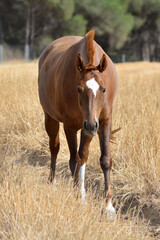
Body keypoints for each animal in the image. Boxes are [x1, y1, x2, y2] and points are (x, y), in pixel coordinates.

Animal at [37, 30, 117, 219]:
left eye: (103, 89)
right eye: (79, 89)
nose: (91, 125)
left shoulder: (104, 122)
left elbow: (104, 160)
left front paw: (108, 207)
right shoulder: (70, 126)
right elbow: (74, 161)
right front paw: (78, 199)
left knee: (83, 156)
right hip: (51, 119)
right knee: (55, 148)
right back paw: (53, 183)